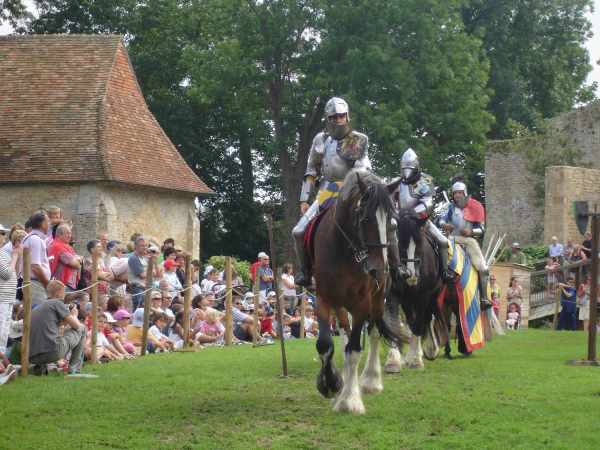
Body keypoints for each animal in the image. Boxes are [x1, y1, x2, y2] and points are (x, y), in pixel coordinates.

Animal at [310, 170, 408, 414]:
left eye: (391, 225)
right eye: (365, 219)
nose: (379, 271)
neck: (343, 250)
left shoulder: (362, 304)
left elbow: (354, 349)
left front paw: (349, 400)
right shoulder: (324, 298)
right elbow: (325, 344)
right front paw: (330, 383)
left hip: (377, 301)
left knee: (373, 334)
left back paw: (371, 379)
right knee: (344, 333)